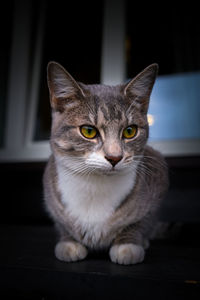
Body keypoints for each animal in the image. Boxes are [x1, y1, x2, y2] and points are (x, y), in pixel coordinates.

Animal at [43, 61, 169, 264]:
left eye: (130, 131)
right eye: (88, 131)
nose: (114, 157)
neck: (95, 184)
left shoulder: (158, 181)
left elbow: (140, 222)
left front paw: (128, 245)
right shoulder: (51, 196)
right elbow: (62, 223)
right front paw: (69, 242)